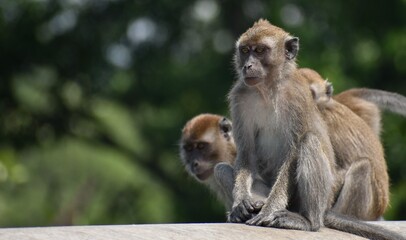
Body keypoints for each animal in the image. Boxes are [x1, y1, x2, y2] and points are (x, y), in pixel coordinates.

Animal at [227, 19, 404, 240]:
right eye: (245, 50)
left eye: (260, 50)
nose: (248, 65)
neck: (268, 91)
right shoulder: (240, 97)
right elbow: (247, 152)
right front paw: (241, 202)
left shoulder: (298, 98)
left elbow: (293, 154)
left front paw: (269, 210)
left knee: (309, 141)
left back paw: (308, 221)